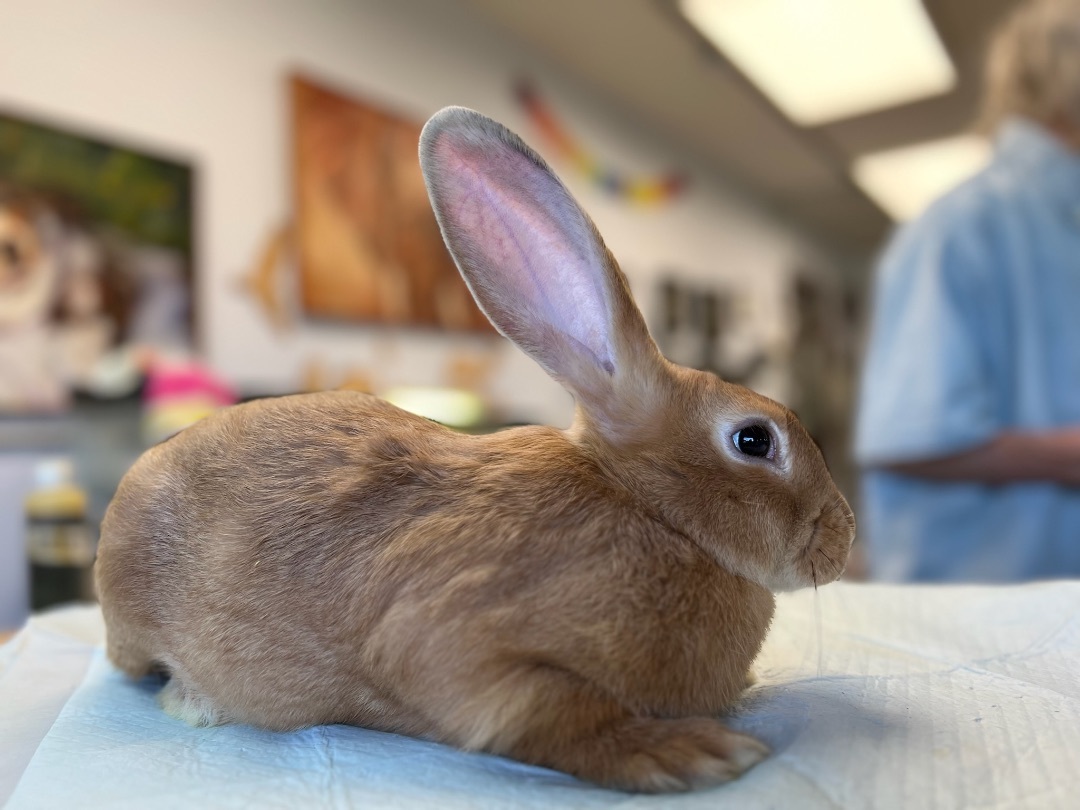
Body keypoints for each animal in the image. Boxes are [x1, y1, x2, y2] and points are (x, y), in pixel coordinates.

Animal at [95, 106, 855, 793]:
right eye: (753, 439)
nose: (843, 536)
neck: (650, 508)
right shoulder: (458, 649)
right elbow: (550, 713)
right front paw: (687, 754)